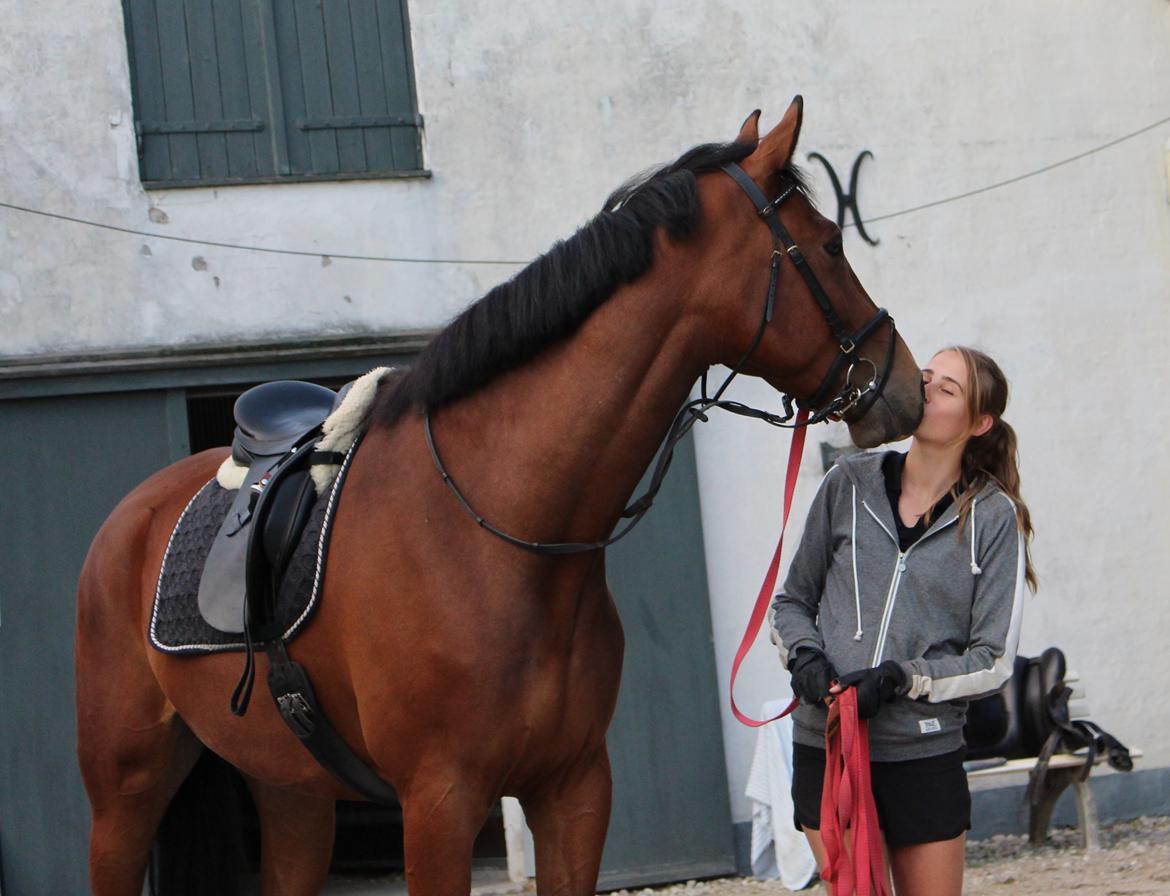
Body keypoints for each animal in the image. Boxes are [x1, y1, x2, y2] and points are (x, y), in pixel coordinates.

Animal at [77, 98, 926, 896]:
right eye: (829, 244)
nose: (907, 384)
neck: (499, 535)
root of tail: (130, 519)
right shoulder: (439, 805)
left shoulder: (574, 791)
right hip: (125, 793)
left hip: (292, 793)